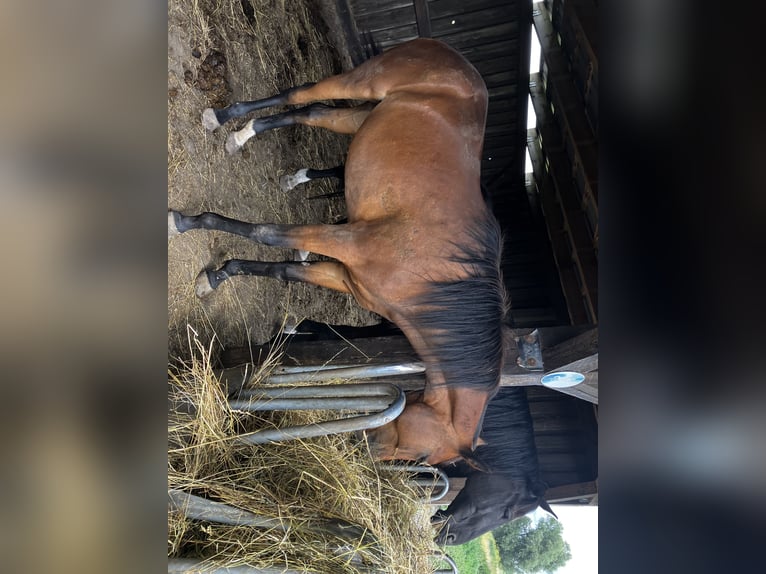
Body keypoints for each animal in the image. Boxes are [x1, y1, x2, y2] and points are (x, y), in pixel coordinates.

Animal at [168, 38, 510, 472]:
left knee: (311, 113)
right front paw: (185, 225)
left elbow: (285, 270)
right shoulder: (346, 240)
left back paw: (252, 145)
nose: (362, 449)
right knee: (303, 95)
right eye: (422, 454)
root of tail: (449, 54)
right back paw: (227, 122)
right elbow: (268, 234)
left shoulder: (346, 275)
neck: (429, 281)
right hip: (363, 84)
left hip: (362, 116)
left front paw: (221, 274)